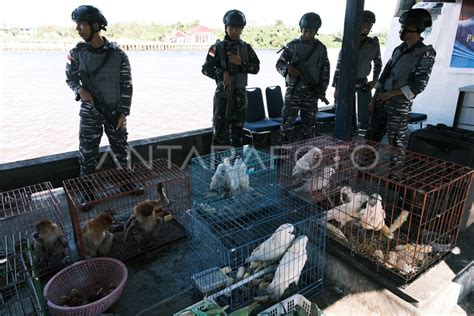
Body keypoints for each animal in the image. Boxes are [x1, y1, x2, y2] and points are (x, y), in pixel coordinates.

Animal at [64, 159, 192, 260]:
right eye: (147, 213)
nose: (149, 214)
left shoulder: (148, 203)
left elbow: (163, 204)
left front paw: (160, 189)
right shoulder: (138, 210)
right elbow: (132, 221)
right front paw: (126, 230)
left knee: (158, 221)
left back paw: (151, 239)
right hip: (140, 236)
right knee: (137, 229)